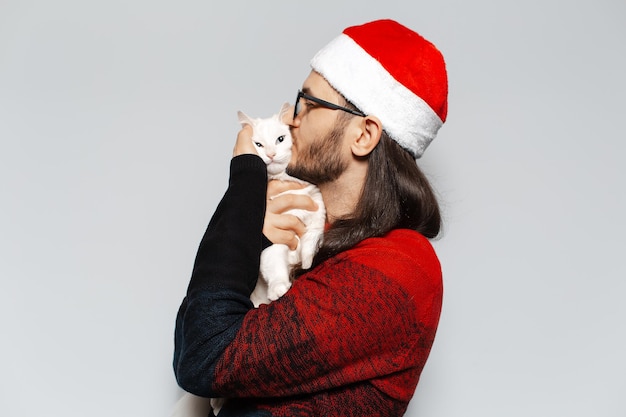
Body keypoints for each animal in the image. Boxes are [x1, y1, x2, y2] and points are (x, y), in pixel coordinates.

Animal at [172, 103, 326, 416]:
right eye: (258, 145)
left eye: (280, 139)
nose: (270, 154)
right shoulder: (272, 243)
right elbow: (277, 264)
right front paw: (281, 286)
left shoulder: (317, 214)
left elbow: (311, 240)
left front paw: (307, 261)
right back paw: (217, 403)